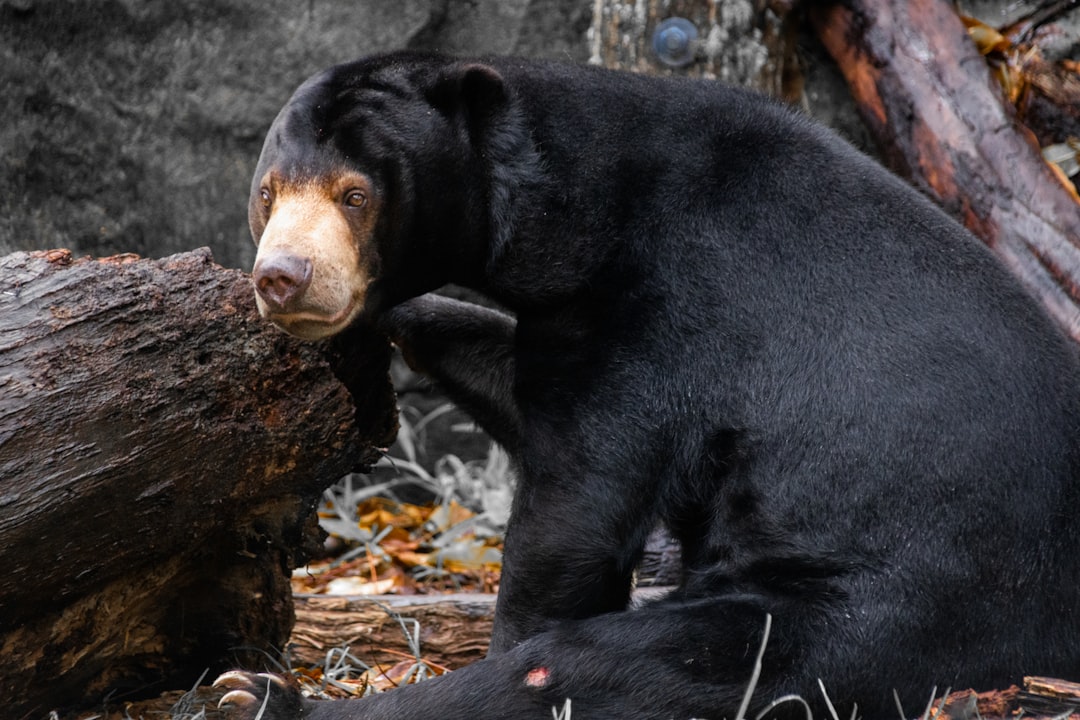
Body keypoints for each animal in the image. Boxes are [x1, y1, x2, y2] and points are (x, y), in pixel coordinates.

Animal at [214, 52, 1080, 720]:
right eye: (269, 191)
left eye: (356, 194)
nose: (282, 278)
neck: (574, 208)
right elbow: (514, 380)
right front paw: (397, 318)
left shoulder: (666, 307)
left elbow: (579, 502)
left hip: (883, 607)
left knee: (599, 665)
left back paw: (258, 695)